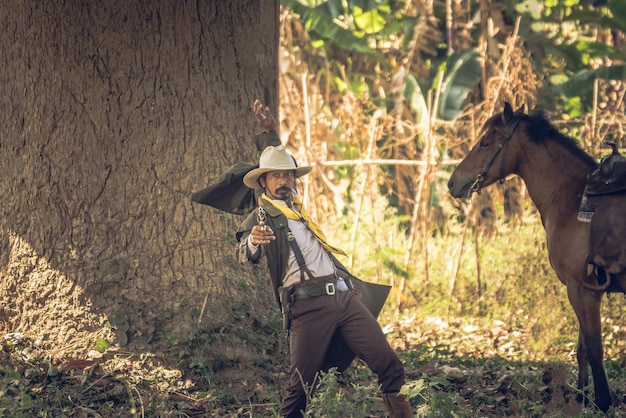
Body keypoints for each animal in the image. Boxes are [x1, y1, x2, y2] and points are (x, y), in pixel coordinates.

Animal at [446, 102, 620, 412]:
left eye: (486, 142)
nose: (453, 183)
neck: (573, 199)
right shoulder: (582, 290)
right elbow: (583, 349)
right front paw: (581, 398)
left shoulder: (582, 290)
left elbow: (594, 349)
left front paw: (602, 402)